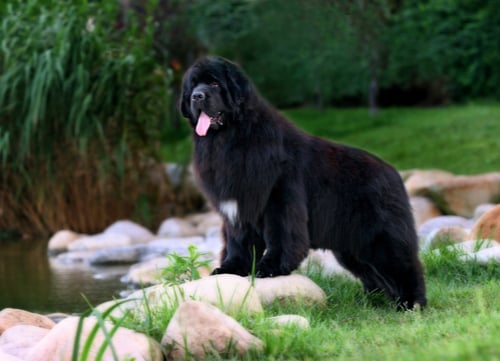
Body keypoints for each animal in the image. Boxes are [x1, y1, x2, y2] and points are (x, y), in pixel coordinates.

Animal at [180, 57, 426, 310]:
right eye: (194, 85)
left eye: (215, 84)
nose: (197, 96)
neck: (231, 139)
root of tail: (393, 172)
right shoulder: (237, 208)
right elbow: (238, 242)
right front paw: (230, 269)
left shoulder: (279, 199)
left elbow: (280, 236)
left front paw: (269, 268)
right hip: (352, 247)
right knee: (374, 273)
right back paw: (377, 301)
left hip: (382, 237)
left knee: (405, 265)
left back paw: (411, 304)